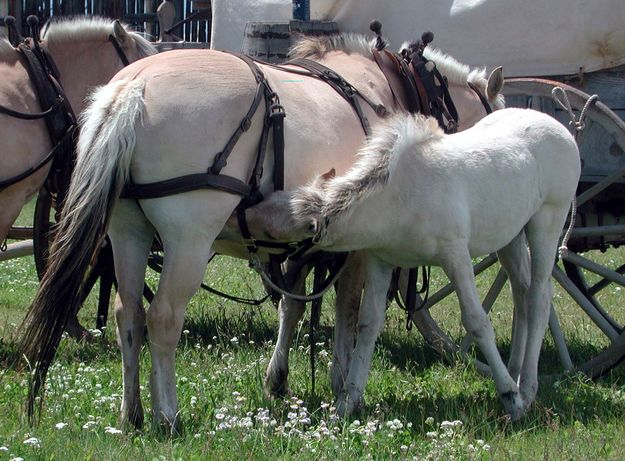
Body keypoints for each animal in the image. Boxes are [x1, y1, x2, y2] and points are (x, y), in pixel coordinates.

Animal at [19, 34, 504, 430]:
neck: (379, 92)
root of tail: (131, 89)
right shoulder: (356, 247)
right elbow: (348, 309)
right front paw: (342, 380)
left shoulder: (305, 243)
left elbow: (292, 305)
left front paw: (279, 379)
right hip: (188, 242)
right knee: (163, 318)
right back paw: (167, 416)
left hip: (127, 233)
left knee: (129, 315)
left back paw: (131, 413)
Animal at [240, 108, 580, 416]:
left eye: (270, 229)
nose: (239, 213)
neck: (401, 195)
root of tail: (559, 127)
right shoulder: (380, 261)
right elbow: (367, 323)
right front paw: (348, 402)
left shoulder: (456, 256)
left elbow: (476, 321)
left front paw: (509, 396)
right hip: (510, 238)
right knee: (521, 295)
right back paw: (515, 371)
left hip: (546, 223)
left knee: (538, 298)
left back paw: (526, 388)